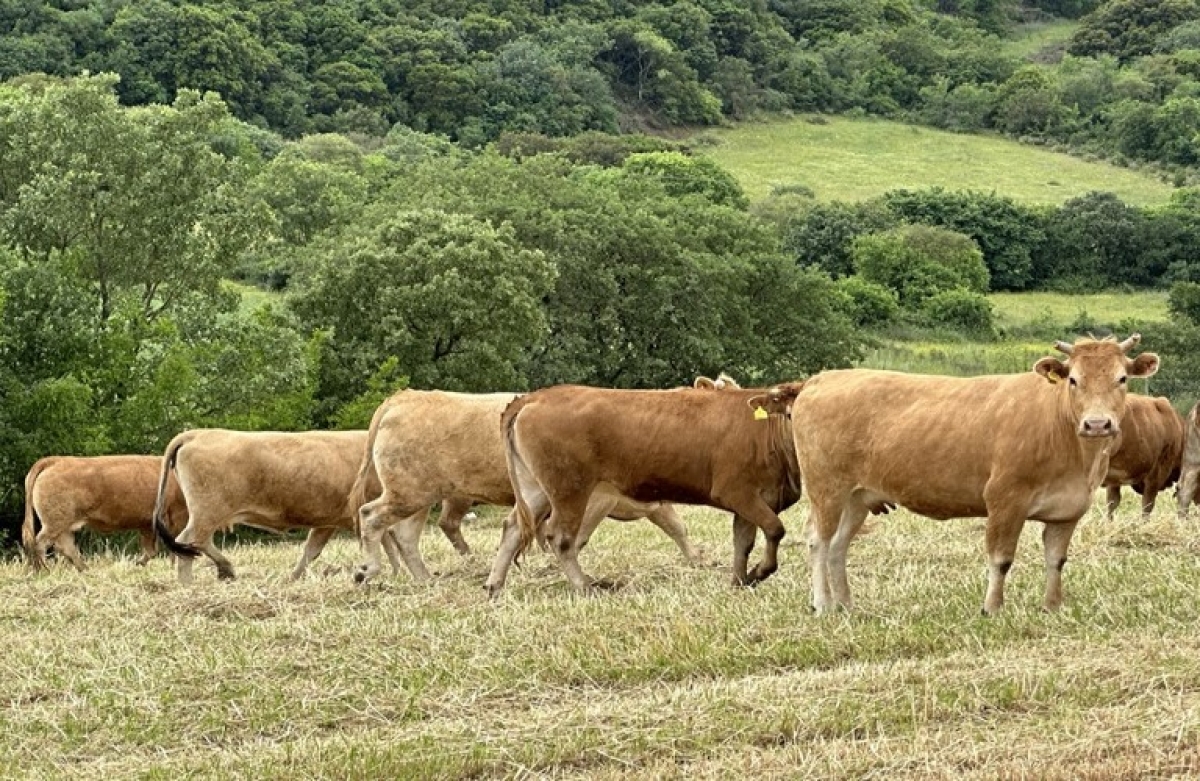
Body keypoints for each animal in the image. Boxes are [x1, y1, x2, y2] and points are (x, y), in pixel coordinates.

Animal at [21, 455, 188, 571]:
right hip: (55, 522)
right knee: (41, 543)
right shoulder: (176, 515)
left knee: (66, 546)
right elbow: (174, 544)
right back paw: (44, 570)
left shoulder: (147, 523)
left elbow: (151, 550)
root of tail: (55, 460)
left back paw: (85, 569)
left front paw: (137, 563)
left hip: (62, 524)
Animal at [152, 431, 408, 583]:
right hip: (207, 512)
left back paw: (224, 569)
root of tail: (197, 433)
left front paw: (293, 578)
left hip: (207, 514)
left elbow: (311, 550)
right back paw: (189, 582)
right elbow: (386, 542)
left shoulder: (327, 521)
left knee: (197, 543)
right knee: (188, 542)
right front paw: (399, 572)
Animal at [348, 381, 724, 583]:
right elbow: (575, 534)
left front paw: (699, 558)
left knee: (404, 534)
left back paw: (426, 579)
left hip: (420, 495)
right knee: (372, 516)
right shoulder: (598, 497)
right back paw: (369, 569)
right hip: (409, 492)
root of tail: (403, 397)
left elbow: (675, 526)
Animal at [482, 381, 801, 595]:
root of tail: (537, 396)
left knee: (512, 527)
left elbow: (742, 542)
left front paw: (739, 581)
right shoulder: (737, 491)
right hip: (569, 489)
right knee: (560, 537)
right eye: (789, 414)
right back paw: (586, 585)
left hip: (535, 489)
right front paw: (759, 572)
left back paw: (494, 585)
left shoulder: (754, 498)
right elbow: (774, 529)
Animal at [792, 335, 1156, 619]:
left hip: (857, 496)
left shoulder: (1068, 510)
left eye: (1122, 379)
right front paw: (992, 608)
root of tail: (821, 379)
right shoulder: (1005, 499)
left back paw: (845, 604)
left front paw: (1052, 606)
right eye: (1074, 380)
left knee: (839, 544)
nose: (1097, 424)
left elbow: (1056, 559)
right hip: (826, 488)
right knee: (818, 540)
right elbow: (1001, 559)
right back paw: (822, 604)